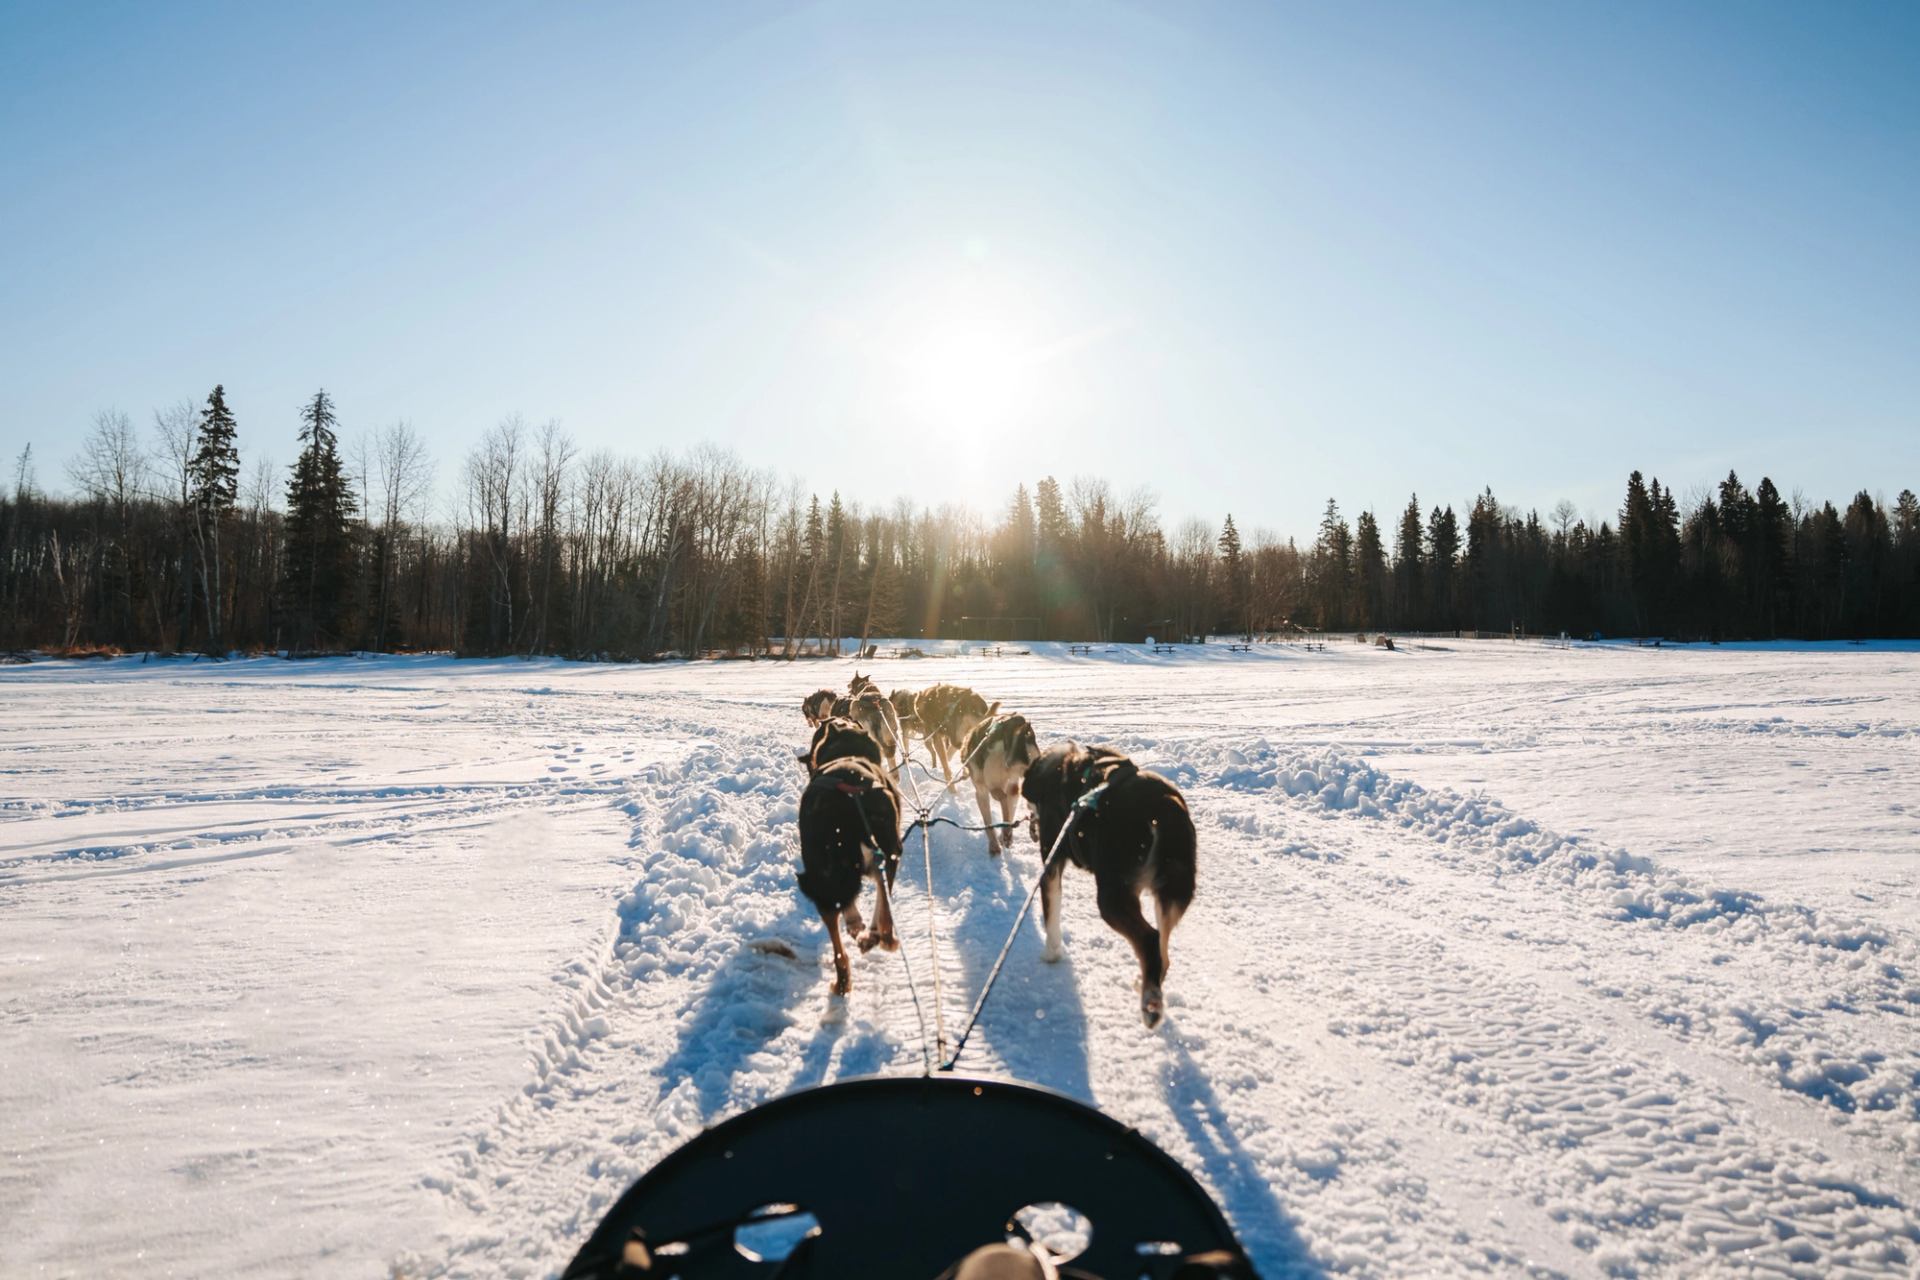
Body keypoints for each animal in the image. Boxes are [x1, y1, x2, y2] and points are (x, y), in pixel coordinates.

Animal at [956, 717, 1036, 855]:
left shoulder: (983, 791)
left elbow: (988, 822)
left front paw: (994, 844)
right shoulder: (1011, 786)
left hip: (994, 785)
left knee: (1003, 799)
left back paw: (1007, 833)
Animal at [1029, 740, 1190, 1028]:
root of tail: (1163, 806)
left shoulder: (1051, 863)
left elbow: (1051, 917)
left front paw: (1052, 954)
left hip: (1111, 898)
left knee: (1150, 940)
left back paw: (1151, 1003)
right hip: (1171, 893)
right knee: (1163, 952)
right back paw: (1146, 983)